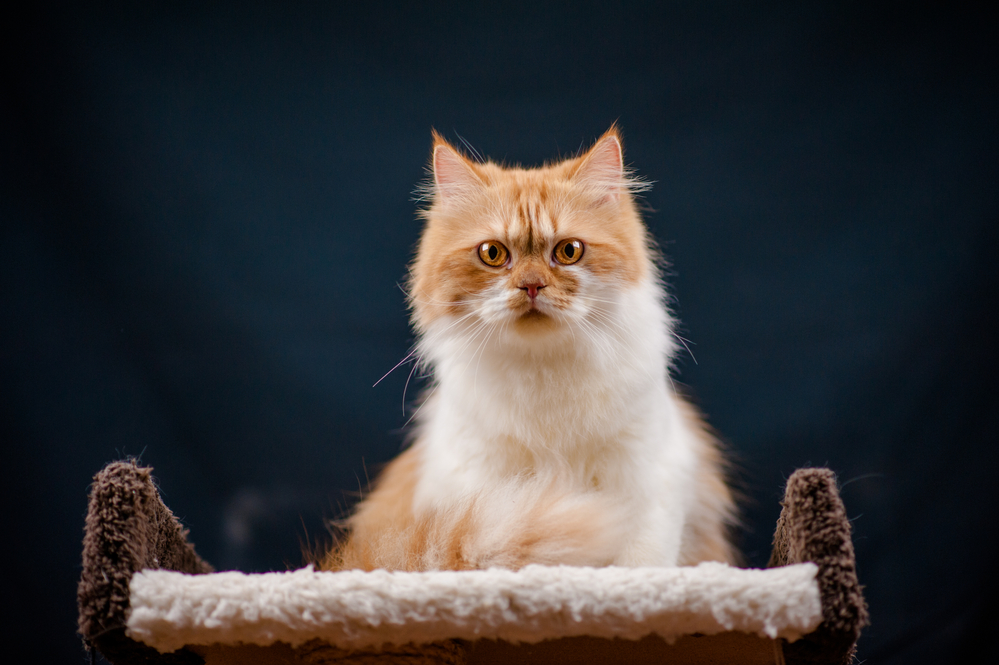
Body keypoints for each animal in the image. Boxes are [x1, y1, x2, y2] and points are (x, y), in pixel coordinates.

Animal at [324, 128, 740, 572]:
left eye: (569, 251)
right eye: (492, 254)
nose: (531, 285)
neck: (543, 371)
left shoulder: (650, 477)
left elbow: (639, 563)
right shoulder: (482, 492)